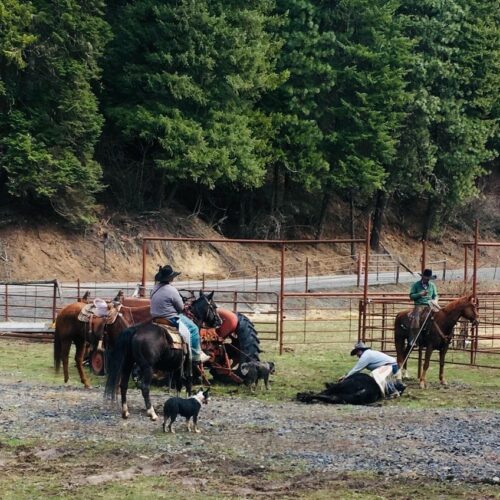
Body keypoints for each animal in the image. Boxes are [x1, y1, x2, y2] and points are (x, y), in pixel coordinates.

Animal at [104, 292, 221, 420]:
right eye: (214, 306)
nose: (219, 321)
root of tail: (135, 330)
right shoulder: (188, 363)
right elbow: (188, 381)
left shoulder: (177, 366)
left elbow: (178, 383)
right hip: (148, 367)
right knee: (145, 387)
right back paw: (152, 413)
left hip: (128, 364)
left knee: (123, 385)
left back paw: (125, 412)